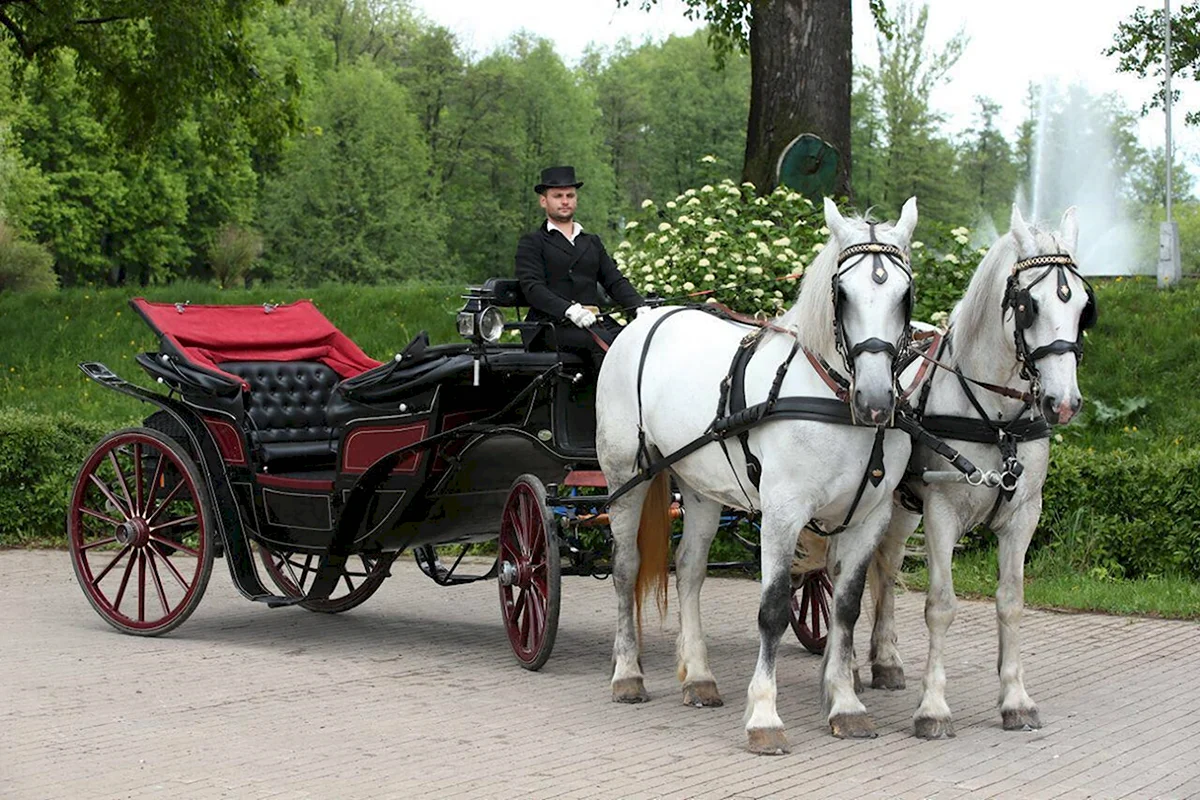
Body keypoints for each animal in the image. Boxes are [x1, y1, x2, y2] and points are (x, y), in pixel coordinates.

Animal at [597, 196, 916, 753]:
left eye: (905, 295)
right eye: (843, 294)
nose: (876, 401)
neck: (831, 398)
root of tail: (646, 319)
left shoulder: (868, 518)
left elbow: (847, 609)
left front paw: (846, 704)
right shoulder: (783, 514)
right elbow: (772, 610)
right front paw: (765, 716)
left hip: (700, 486)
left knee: (690, 569)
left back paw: (700, 677)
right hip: (624, 477)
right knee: (625, 567)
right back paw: (628, 674)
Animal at [864, 205, 1099, 738]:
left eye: (1083, 308)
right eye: (1029, 305)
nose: (1064, 403)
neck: (997, 420)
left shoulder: (1024, 515)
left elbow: (1011, 601)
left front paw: (1015, 699)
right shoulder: (941, 513)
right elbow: (940, 605)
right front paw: (933, 707)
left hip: (902, 508)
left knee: (886, 566)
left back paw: (885, 660)